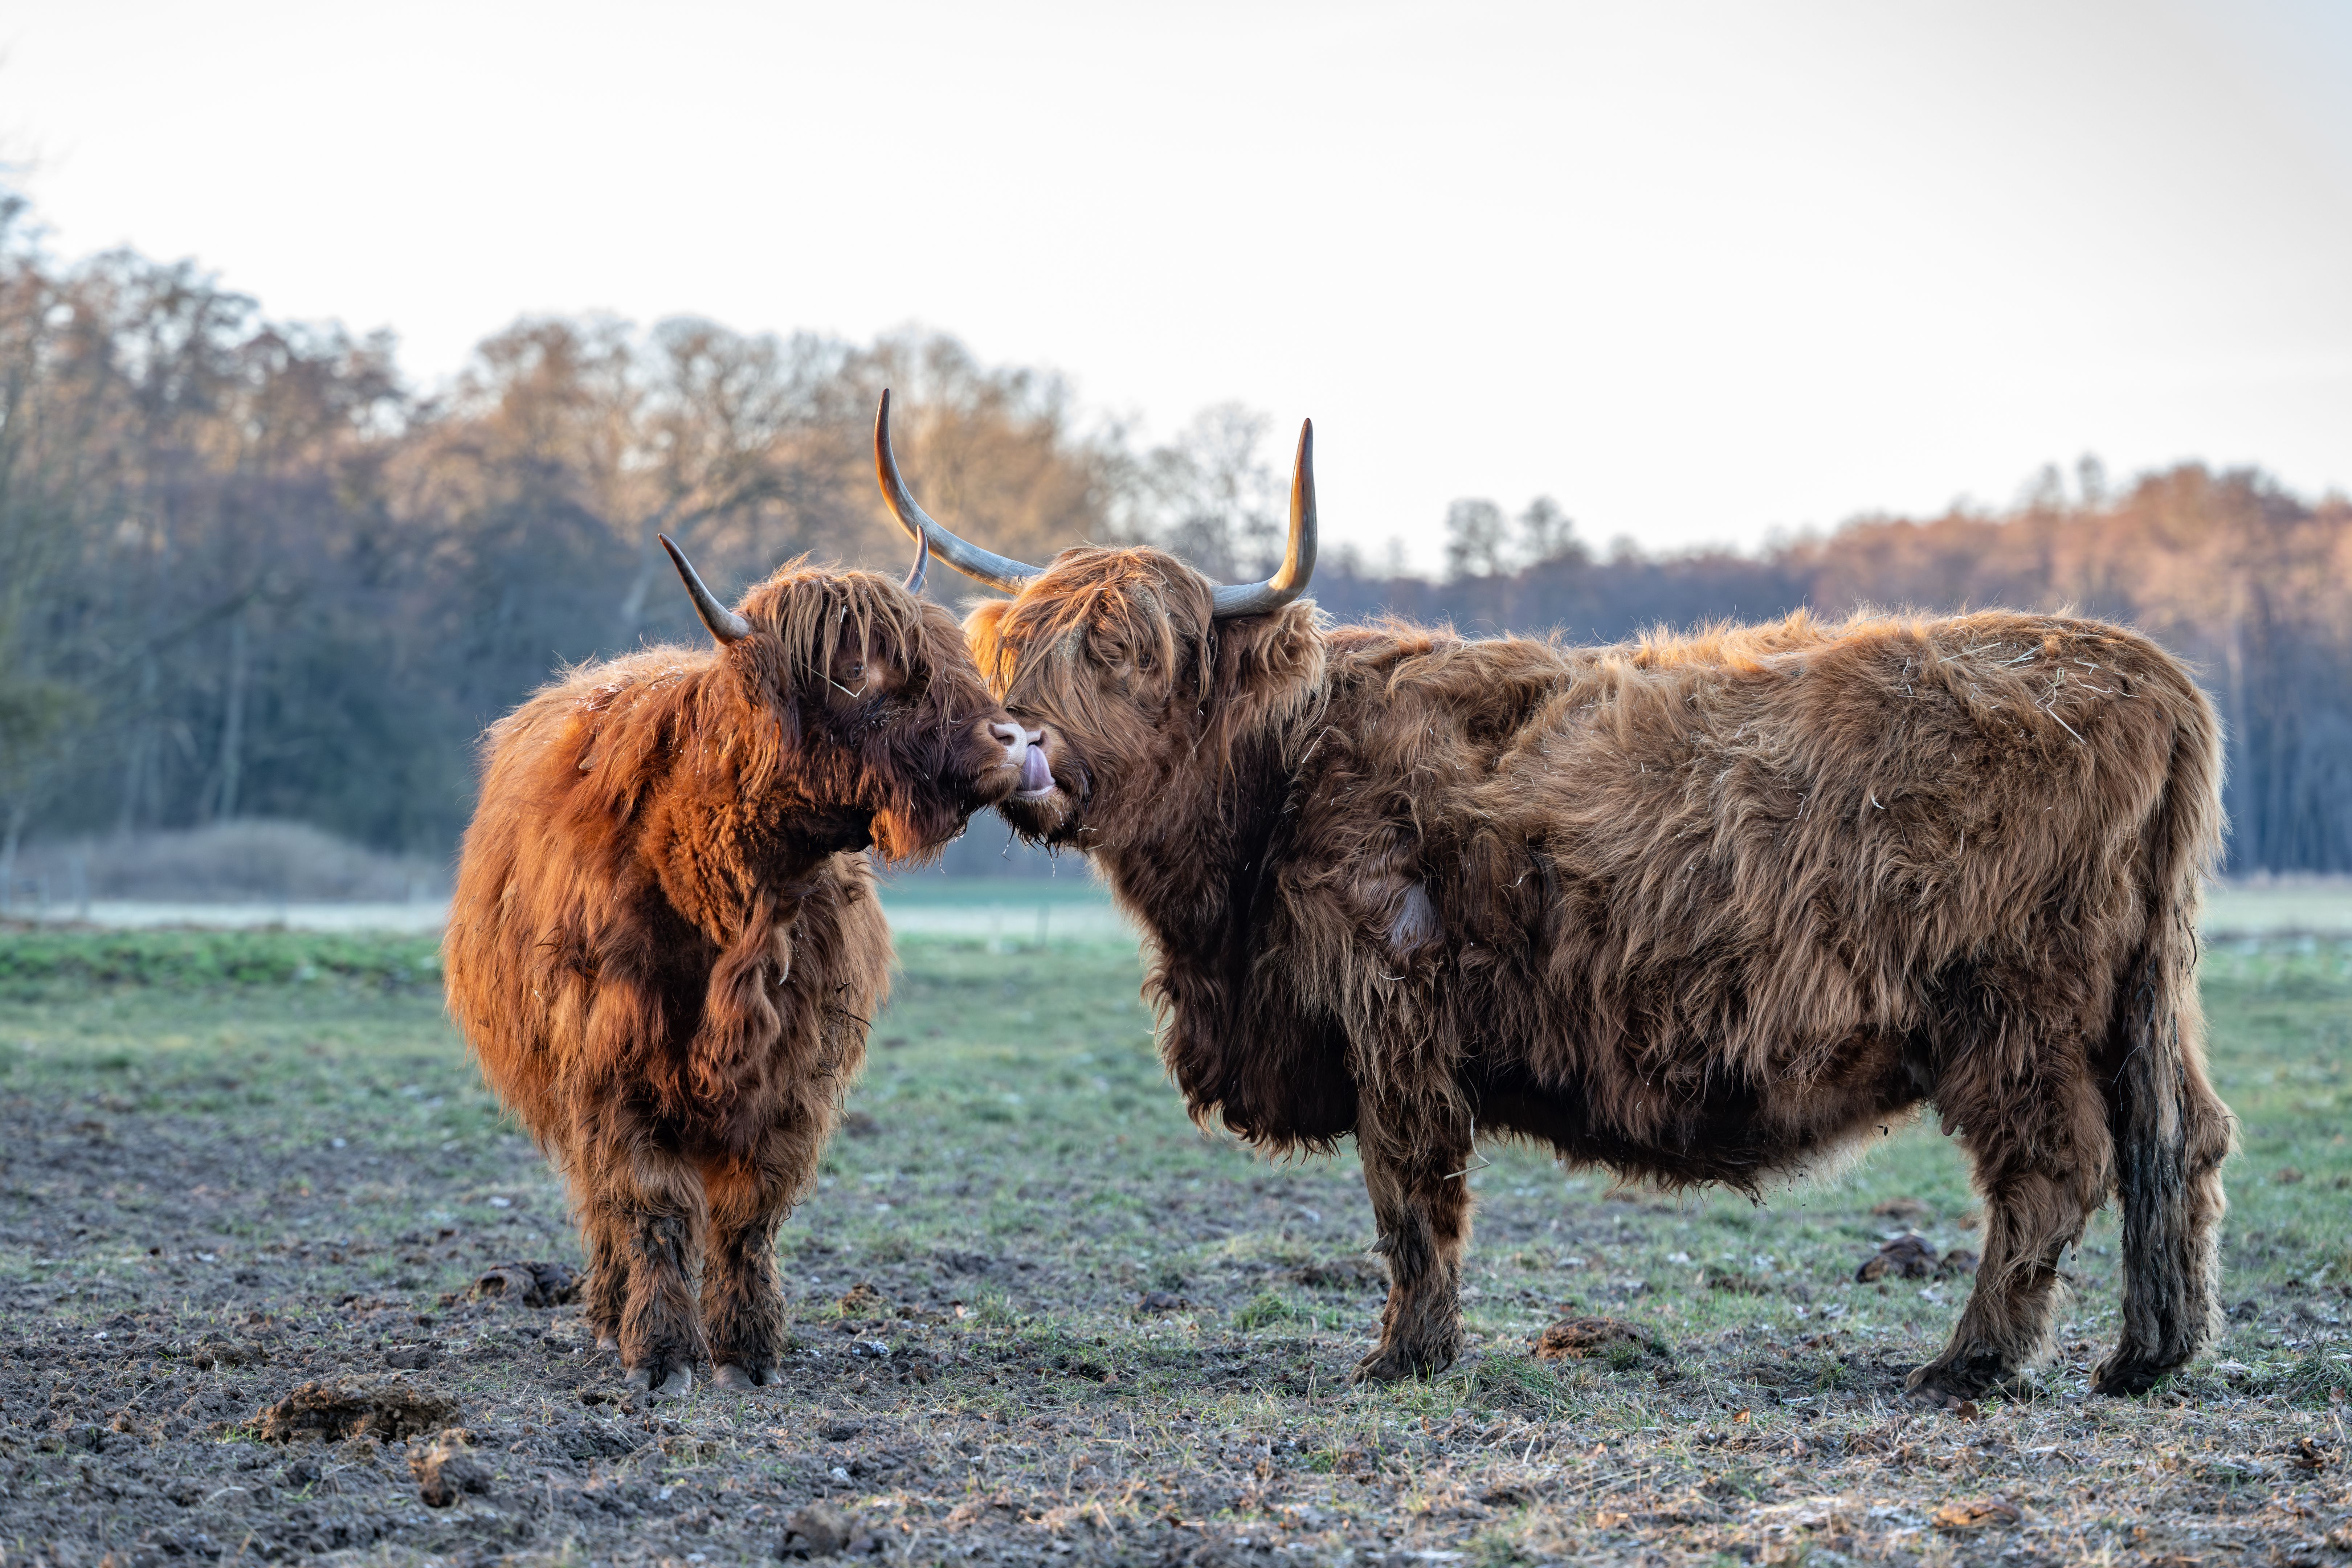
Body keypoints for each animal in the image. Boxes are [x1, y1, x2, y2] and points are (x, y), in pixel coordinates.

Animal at [444, 527, 1043, 1397]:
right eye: (855, 671)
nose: (1018, 742)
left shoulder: (794, 1072)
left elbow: (747, 1211)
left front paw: (746, 1352)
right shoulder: (611, 1059)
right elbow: (650, 1203)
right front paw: (659, 1354)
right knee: (600, 1201)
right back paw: (607, 1318)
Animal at [874, 396, 2235, 1406]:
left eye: (1133, 653)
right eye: (1024, 648)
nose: (1025, 746)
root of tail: (2145, 668)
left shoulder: (1393, 1010)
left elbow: (1410, 1195)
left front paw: (1406, 1357)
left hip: (2014, 1009)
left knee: (2058, 1168)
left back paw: (1972, 1365)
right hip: (2139, 997)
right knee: (2182, 1142)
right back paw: (2146, 1357)